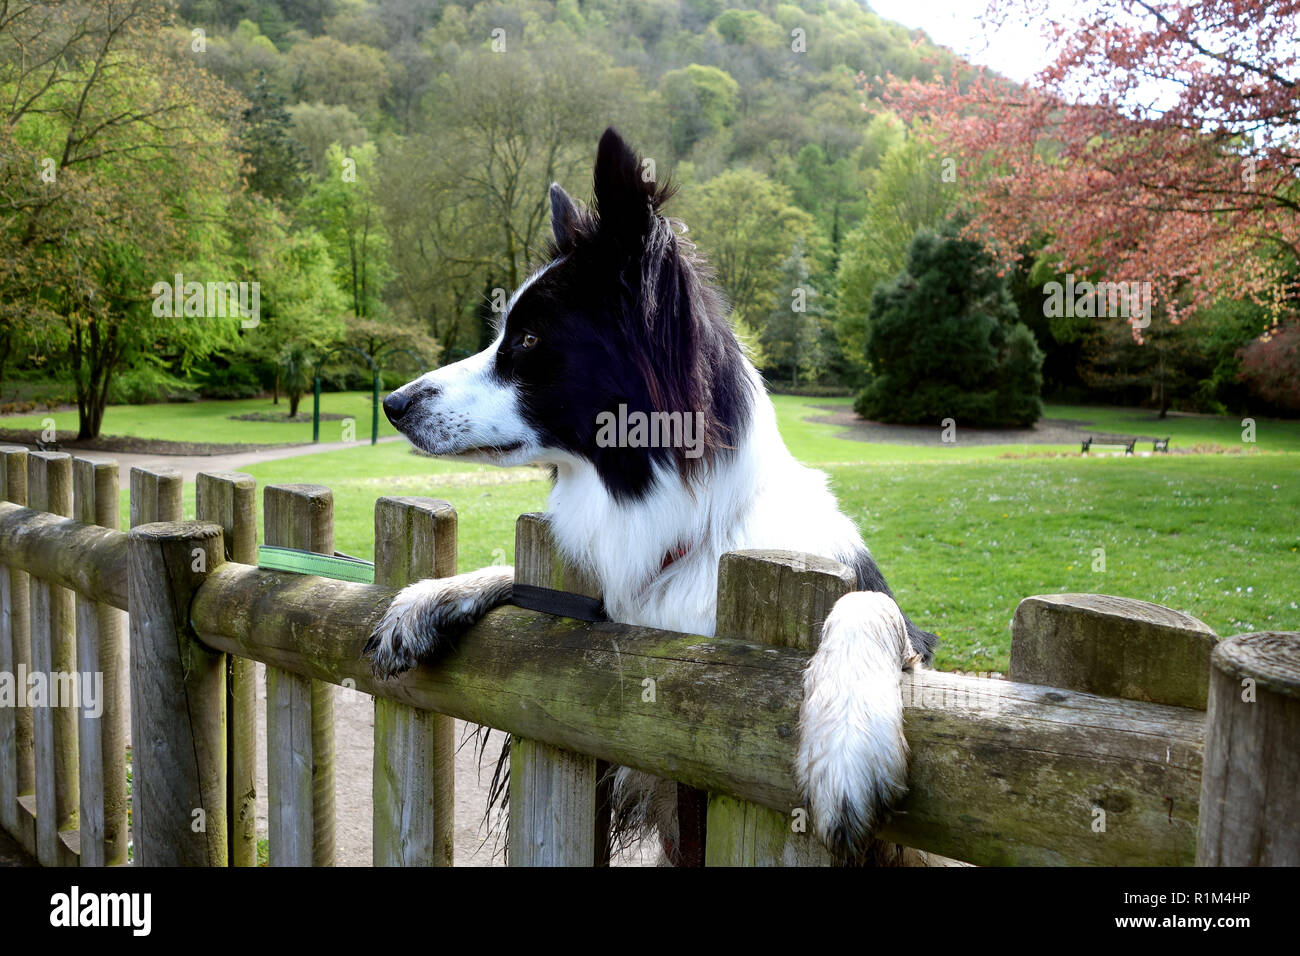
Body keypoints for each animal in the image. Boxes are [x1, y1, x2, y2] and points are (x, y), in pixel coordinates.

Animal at [366, 128, 935, 868]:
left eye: (527, 339)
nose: (393, 403)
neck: (693, 530)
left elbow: (870, 606)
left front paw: (848, 737)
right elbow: (518, 575)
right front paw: (426, 597)